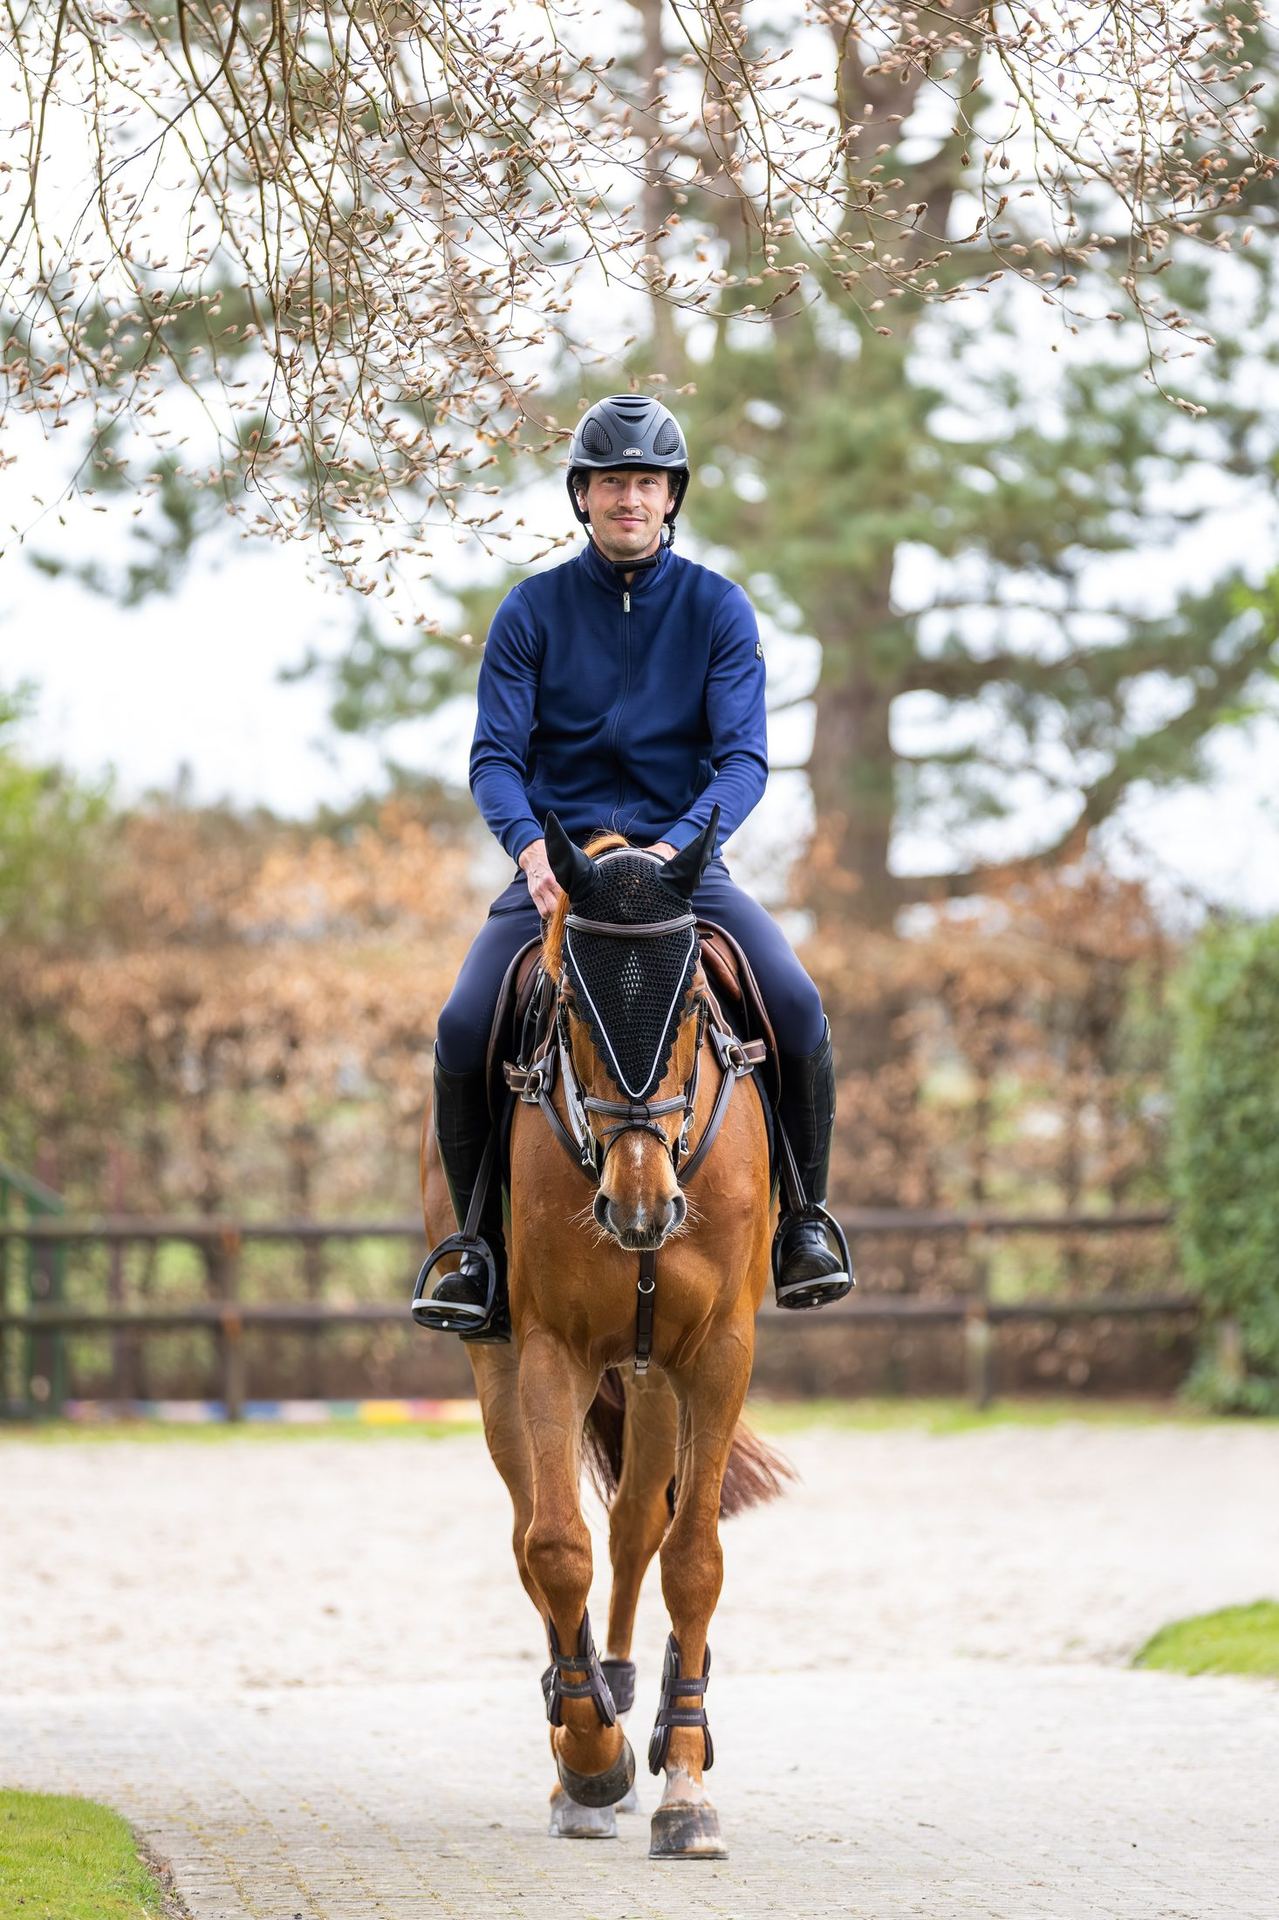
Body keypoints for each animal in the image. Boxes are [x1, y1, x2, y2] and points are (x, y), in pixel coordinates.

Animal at [418, 808, 793, 1859]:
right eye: (572, 1013)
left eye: (691, 1004)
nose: (639, 1209)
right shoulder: (551, 1349)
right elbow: (554, 1548)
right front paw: (591, 1762)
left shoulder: (716, 1355)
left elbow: (692, 1558)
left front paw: (684, 1785)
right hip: (506, 1364)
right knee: (534, 1533)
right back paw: (581, 1725)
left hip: (657, 1373)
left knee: (635, 1525)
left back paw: (638, 1701)